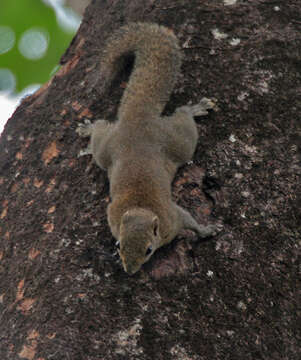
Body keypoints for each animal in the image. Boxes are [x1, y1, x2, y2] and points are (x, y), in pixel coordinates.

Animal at [76, 21, 221, 276]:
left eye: (148, 250)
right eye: (118, 245)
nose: (130, 271)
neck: (140, 208)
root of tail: (138, 118)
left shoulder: (172, 218)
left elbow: (190, 221)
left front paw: (206, 230)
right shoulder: (113, 217)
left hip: (176, 142)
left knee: (183, 118)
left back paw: (195, 109)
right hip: (110, 147)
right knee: (101, 131)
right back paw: (88, 129)